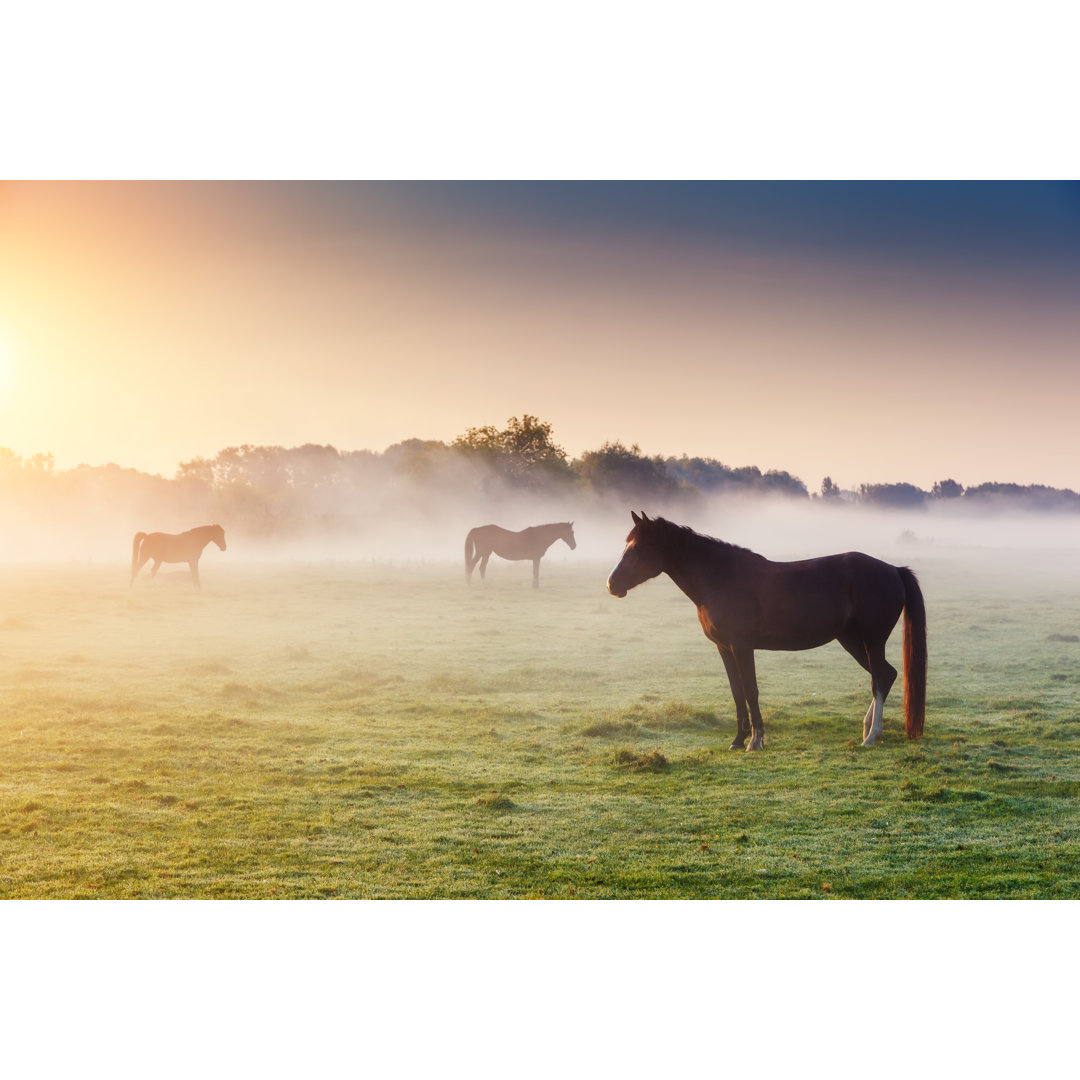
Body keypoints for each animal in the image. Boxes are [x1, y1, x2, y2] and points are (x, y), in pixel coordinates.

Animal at [604, 511, 924, 751]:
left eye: (639, 548)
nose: (611, 584)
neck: (721, 578)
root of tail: (894, 570)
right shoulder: (724, 647)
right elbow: (736, 692)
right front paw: (737, 740)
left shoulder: (742, 646)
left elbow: (751, 689)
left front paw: (755, 740)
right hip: (852, 640)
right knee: (886, 674)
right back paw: (868, 729)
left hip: (872, 640)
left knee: (879, 678)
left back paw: (871, 736)